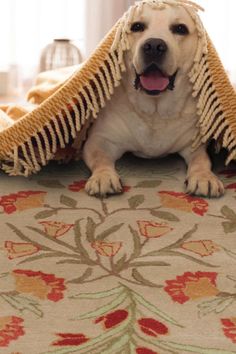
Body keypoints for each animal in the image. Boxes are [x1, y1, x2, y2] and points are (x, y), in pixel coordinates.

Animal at [83, 2, 225, 198]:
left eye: (180, 29)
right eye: (137, 26)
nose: (154, 46)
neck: (155, 112)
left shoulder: (194, 144)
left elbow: (202, 160)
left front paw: (204, 177)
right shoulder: (100, 139)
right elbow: (100, 157)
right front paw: (103, 177)